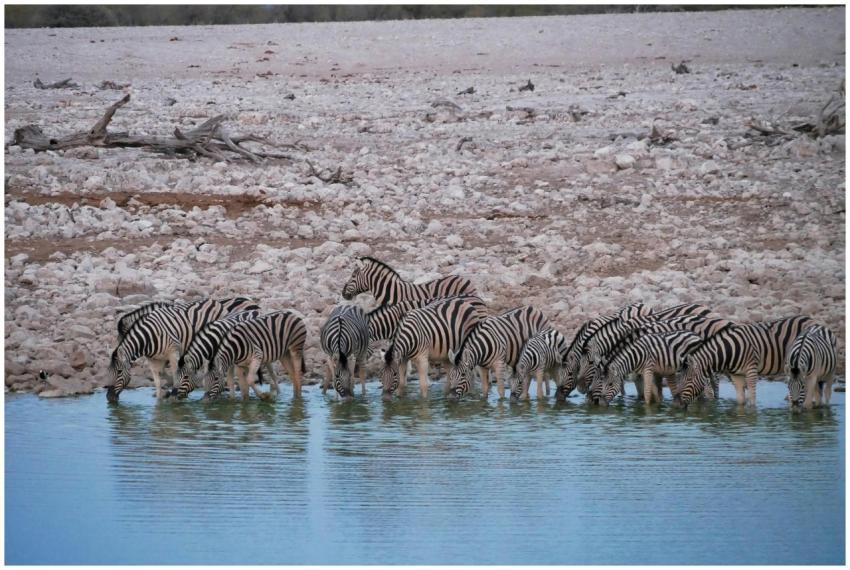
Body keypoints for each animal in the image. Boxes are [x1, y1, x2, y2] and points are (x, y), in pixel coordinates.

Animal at [106, 298, 260, 402]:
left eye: (119, 372)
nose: (109, 397)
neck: (150, 336)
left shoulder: (174, 352)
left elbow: (175, 374)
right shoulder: (155, 359)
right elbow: (158, 380)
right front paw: (160, 399)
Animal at [674, 316, 815, 408]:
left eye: (688, 380)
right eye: (679, 379)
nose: (677, 403)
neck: (729, 351)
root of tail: (810, 319)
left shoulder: (751, 370)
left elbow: (752, 400)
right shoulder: (736, 375)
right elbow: (740, 401)